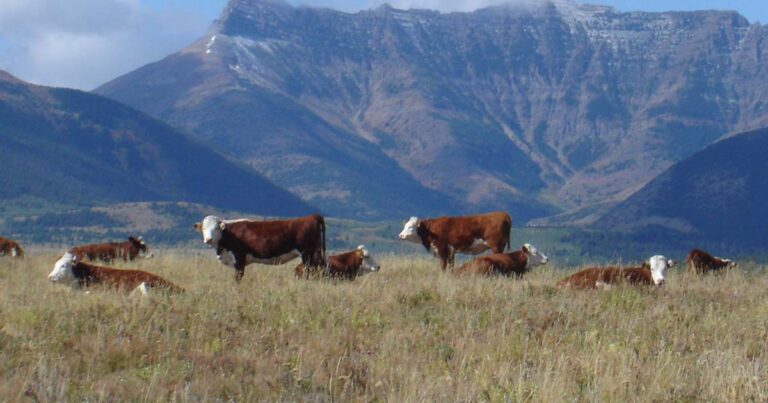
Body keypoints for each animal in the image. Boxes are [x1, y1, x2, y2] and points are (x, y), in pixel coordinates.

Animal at [195, 214, 326, 282]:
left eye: (216, 228)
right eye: (204, 228)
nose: (208, 239)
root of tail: (311, 216)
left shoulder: (239, 258)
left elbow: (238, 277)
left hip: (307, 253)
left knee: (311, 271)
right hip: (316, 252)